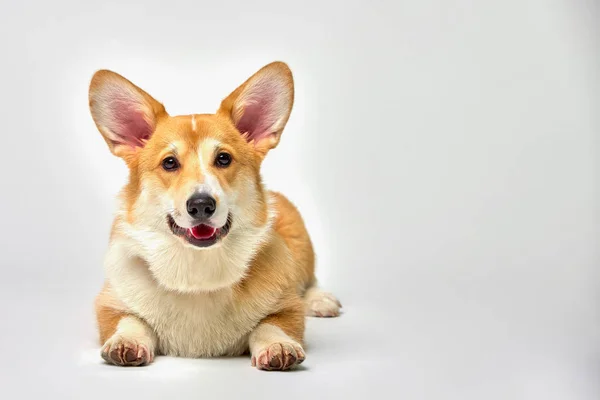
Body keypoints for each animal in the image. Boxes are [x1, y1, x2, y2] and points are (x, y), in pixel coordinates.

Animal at [89, 61, 342, 370]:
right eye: (169, 163)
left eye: (223, 158)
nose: (201, 205)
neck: (198, 269)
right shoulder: (110, 304)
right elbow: (129, 320)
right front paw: (126, 341)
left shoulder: (287, 307)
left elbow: (271, 325)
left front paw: (278, 346)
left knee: (309, 280)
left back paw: (321, 300)